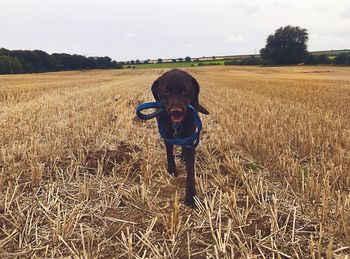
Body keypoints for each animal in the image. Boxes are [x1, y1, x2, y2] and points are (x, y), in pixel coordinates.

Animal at [150, 68, 208, 207]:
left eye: (184, 91)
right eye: (166, 91)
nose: (176, 111)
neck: (176, 124)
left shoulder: (190, 138)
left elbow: (190, 171)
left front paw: (191, 197)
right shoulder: (166, 135)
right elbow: (169, 154)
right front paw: (172, 171)